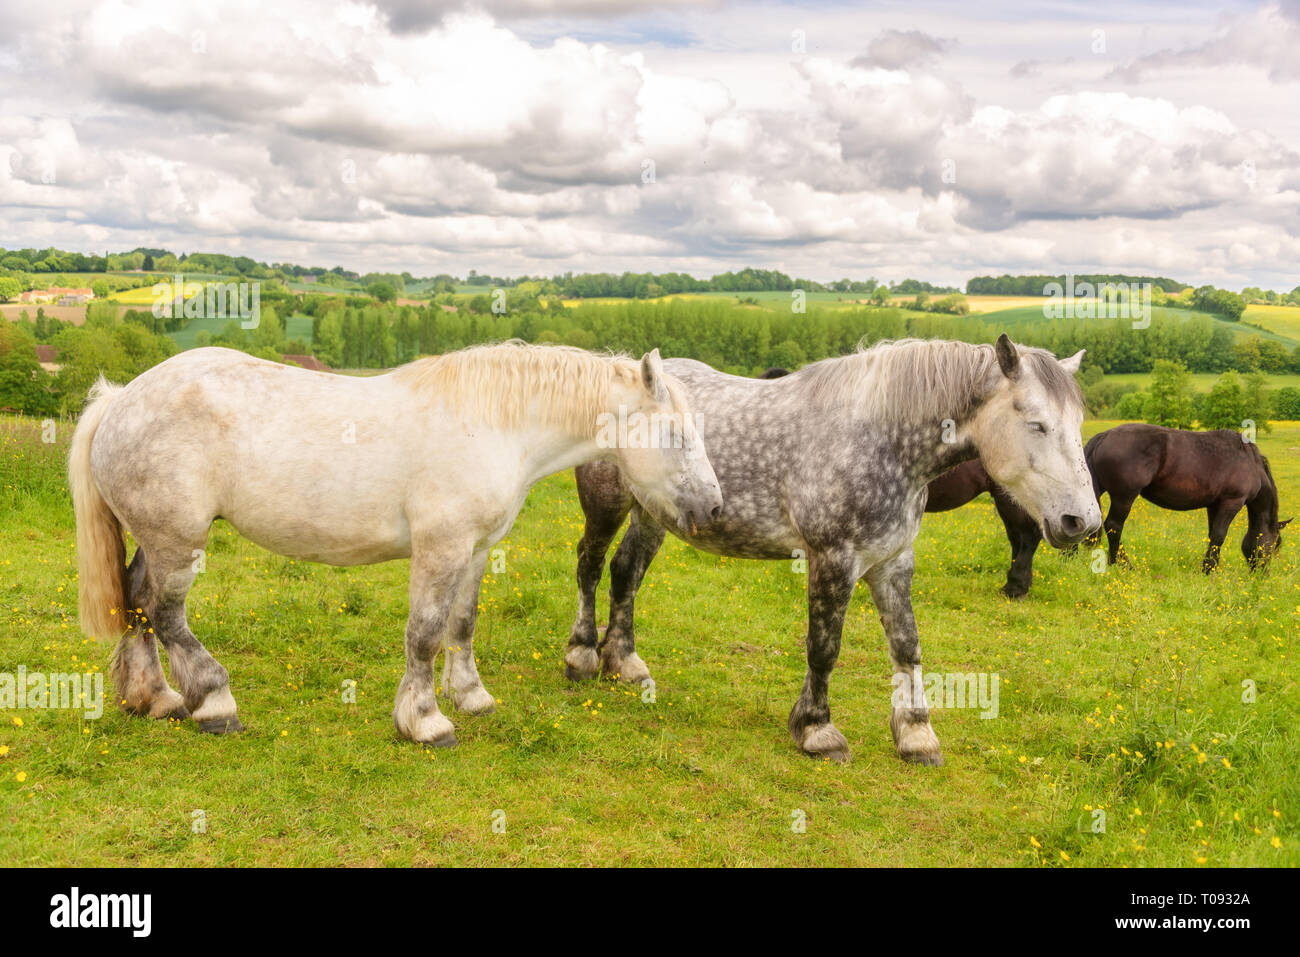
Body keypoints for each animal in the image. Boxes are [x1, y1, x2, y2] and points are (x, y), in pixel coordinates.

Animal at [70, 342, 723, 747]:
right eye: (675, 434)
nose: (713, 509)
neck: (493, 424)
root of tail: (120, 399)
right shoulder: (440, 550)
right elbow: (426, 634)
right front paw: (426, 721)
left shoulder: (474, 551)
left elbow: (462, 624)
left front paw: (471, 696)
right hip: (179, 543)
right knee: (165, 613)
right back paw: (212, 702)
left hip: (156, 542)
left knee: (135, 601)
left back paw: (153, 698)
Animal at [1085, 423, 1288, 572]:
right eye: (1275, 544)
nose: (1263, 574)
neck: (1249, 462)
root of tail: (1105, 435)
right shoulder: (1232, 502)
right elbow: (1220, 535)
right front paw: (1208, 569)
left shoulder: (1214, 505)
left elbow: (1213, 535)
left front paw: (1211, 566)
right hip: (1124, 497)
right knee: (1114, 527)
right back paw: (1121, 563)